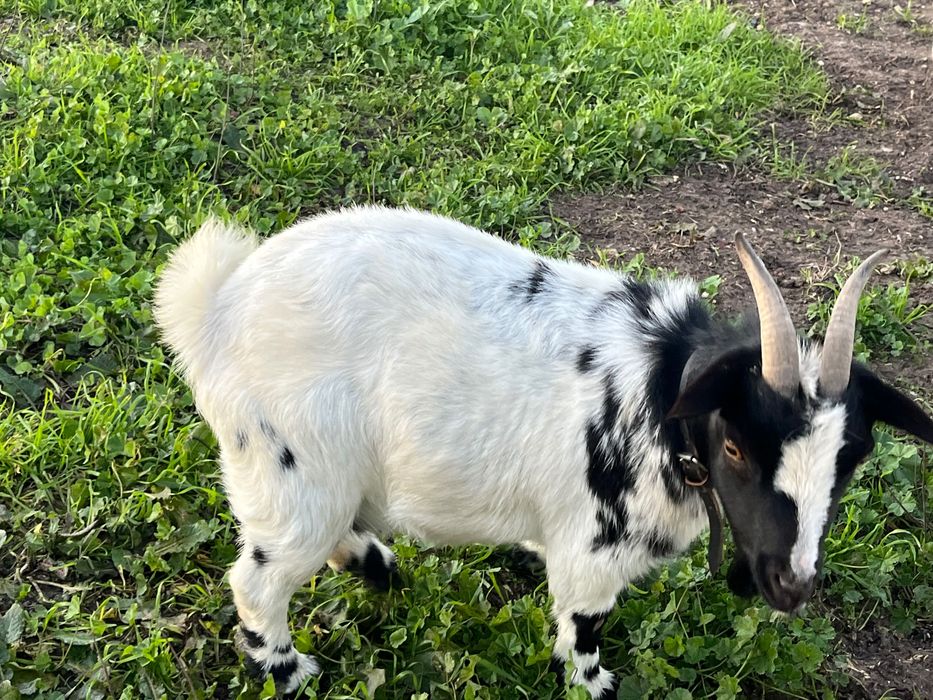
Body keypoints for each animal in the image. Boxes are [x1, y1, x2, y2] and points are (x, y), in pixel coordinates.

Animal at [154, 207, 933, 698]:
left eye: (853, 456)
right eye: (736, 444)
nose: (789, 585)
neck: (659, 393)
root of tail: (212, 312)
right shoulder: (591, 551)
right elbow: (581, 630)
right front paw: (596, 686)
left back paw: (377, 568)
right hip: (293, 475)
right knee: (257, 582)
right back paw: (291, 672)